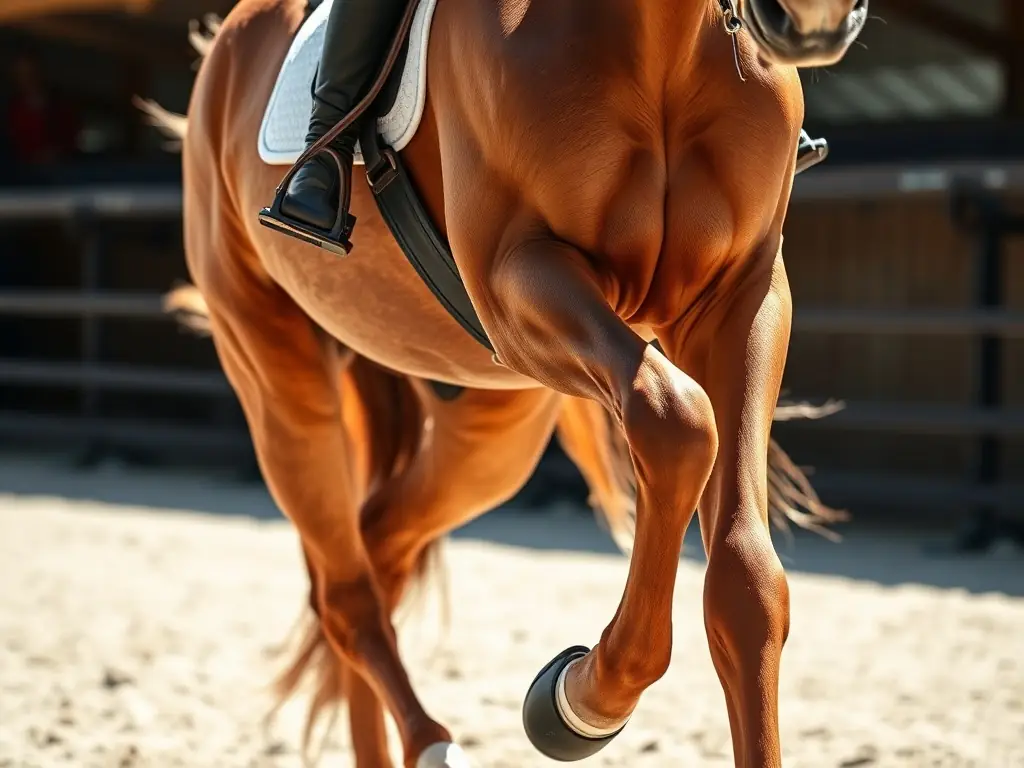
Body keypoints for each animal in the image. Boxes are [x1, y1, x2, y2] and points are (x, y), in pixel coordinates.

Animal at [149, 0, 866, 764]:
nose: (813, 21)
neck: (661, 41)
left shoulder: (743, 298)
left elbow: (746, 581)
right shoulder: (513, 280)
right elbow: (676, 419)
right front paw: (581, 699)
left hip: (492, 438)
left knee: (379, 544)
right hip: (277, 374)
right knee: (345, 594)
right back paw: (434, 741)